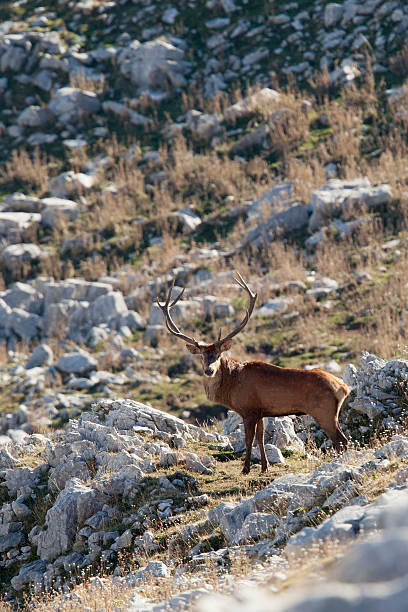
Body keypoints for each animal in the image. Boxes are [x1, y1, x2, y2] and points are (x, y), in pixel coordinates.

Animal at [157, 272, 350, 474]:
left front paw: (246, 468)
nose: (209, 370)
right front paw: (264, 467)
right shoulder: (260, 411)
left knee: (342, 441)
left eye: (218, 355)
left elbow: (249, 439)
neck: (231, 388)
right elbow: (261, 437)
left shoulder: (248, 409)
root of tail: (344, 388)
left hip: (324, 411)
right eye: (202, 356)